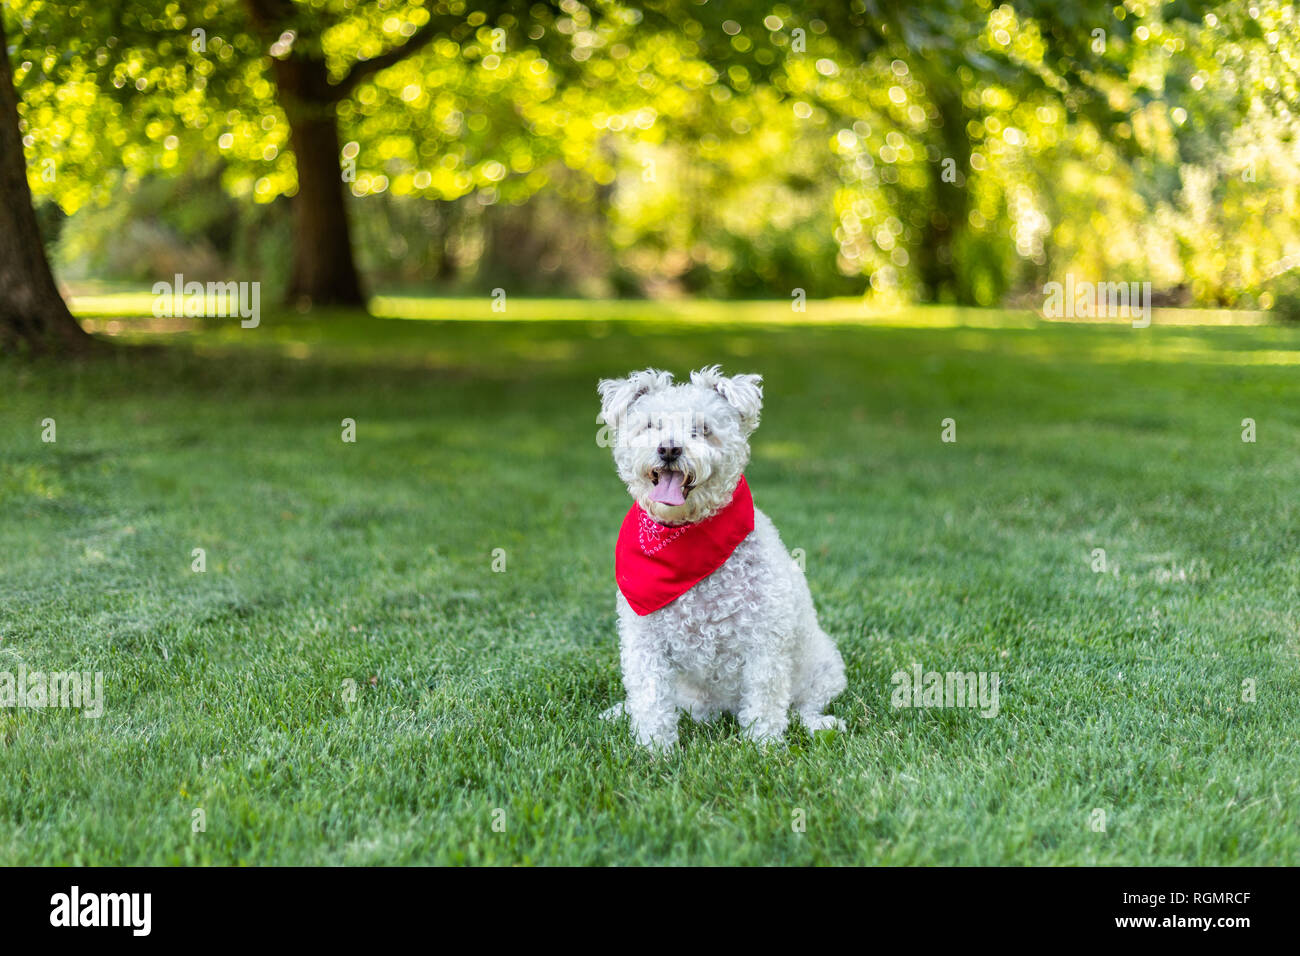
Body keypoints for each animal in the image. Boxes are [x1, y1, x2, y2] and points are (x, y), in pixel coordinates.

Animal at [595, 361, 842, 749]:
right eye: (651, 425)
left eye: (703, 429)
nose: (669, 449)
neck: (683, 538)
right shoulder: (644, 642)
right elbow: (651, 699)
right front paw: (654, 750)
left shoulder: (764, 641)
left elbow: (765, 699)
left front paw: (764, 746)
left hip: (826, 670)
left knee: (804, 707)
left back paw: (819, 724)